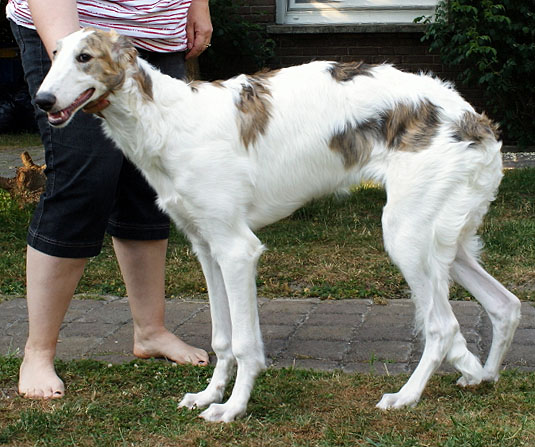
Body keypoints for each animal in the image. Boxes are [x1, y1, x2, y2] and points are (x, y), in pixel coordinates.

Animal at [35, 28, 521, 422]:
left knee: (443, 327)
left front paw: (232, 408)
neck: (166, 119)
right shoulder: (207, 248)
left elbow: (245, 344)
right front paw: (208, 395)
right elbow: (222, 339)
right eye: (54, 54)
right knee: (506, 304)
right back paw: (481, 374)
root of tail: (475, 119)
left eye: (84, 57)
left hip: (406, 237)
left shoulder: (237, 250)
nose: (42, 102)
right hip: (444, 242)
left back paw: (406, 397)